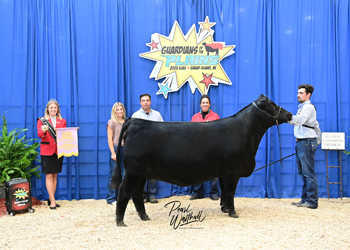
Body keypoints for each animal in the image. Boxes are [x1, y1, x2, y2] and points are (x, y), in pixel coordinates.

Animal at [110, 95, 292, 227]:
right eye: (273, 105)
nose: (290, 114)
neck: (247, 132)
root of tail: (134, 121)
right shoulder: (233, 170)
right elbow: (231, 191)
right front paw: (233, 213)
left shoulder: (224, 172)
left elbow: (224, 191)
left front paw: (224, 208)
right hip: (133, 171)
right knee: (124, 191)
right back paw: (120, 221)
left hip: (141, 174)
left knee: (136, 194)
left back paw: (144, 216)